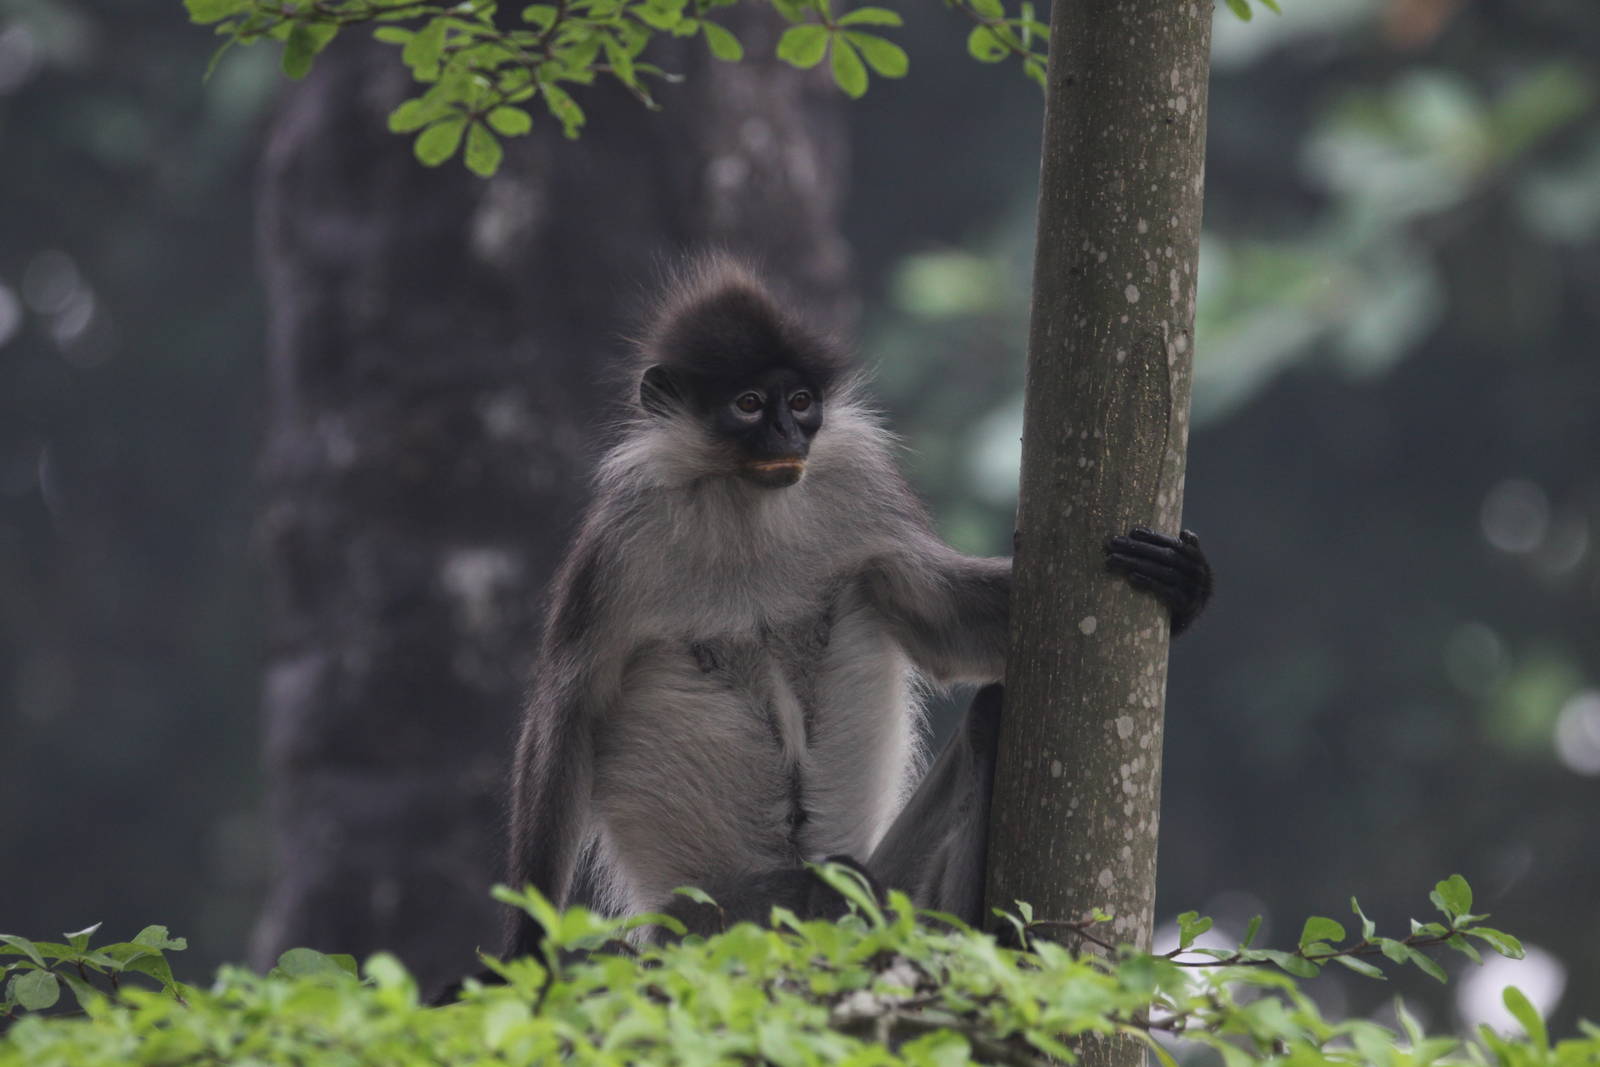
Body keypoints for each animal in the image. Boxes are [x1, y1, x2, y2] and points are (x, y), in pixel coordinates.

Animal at [503, 258, 1211, 957]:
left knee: (981, 722)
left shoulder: (856, 483)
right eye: (749, 405)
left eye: (800, 401)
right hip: (705, 928)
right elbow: (566, 717)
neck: (746, 508)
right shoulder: (621, 541)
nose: (788, 431)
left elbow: (947, 625)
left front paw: (1186, 588)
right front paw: (528, 954)